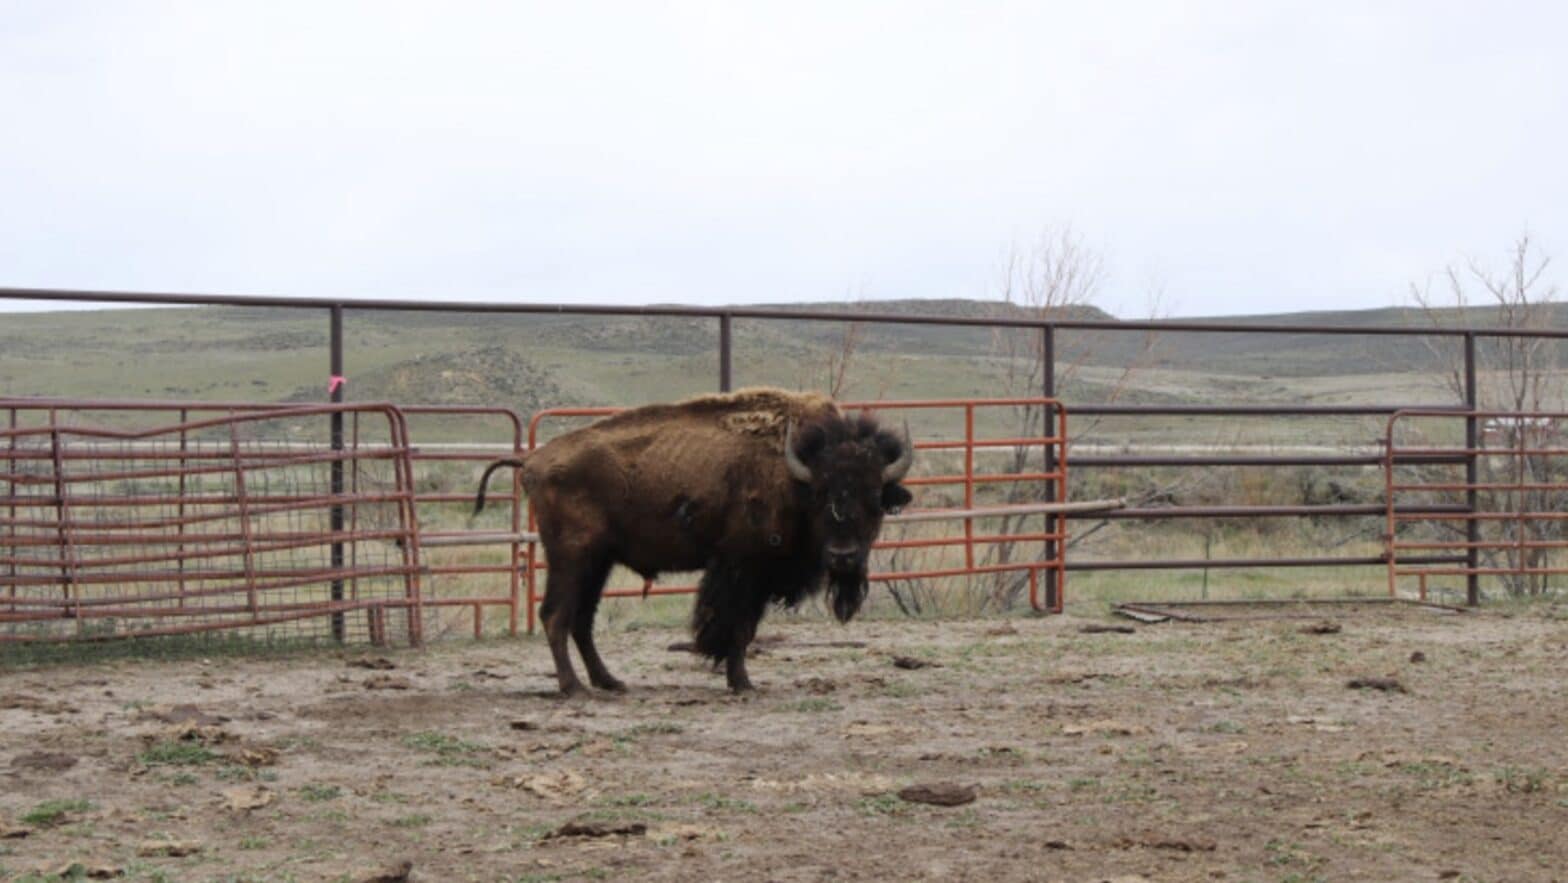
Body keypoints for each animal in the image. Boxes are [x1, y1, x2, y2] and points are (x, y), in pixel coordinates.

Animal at [474, 388, 913, 694]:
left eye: (876, 498)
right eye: (821, 495)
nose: (843, 556)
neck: (794, 474)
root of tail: (534, 459)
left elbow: (744, 628)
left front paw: (738, 679)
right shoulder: (742, 568)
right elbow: (736, 628)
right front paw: (742, 683)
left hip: (598, 562)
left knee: (581, 620)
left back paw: (610, 681)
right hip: (572, 559)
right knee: (556, 615)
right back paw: (574, 687)